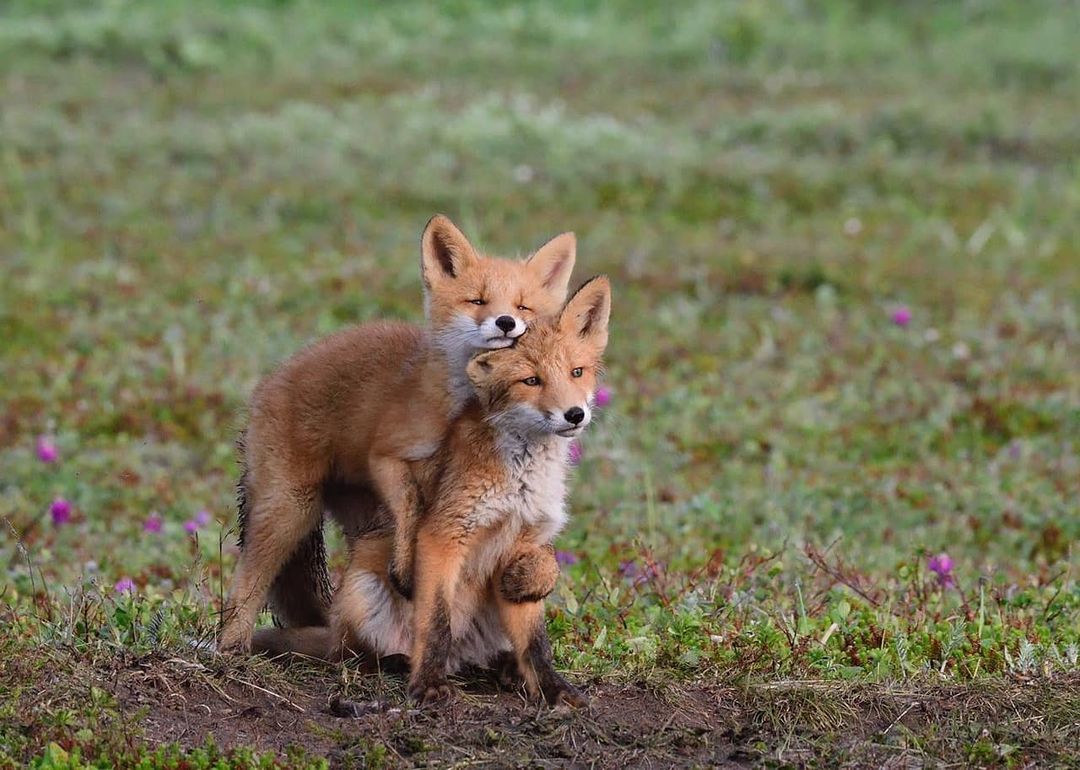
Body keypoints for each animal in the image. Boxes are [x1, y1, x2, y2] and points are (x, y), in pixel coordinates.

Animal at [248, 273, 613, 704]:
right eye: (532, 381)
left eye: (577, 372)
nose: (575, 414)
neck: (521, 480)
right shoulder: (444, 534)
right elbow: (436, 620)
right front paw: (427, 685)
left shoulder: (520, 545)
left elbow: (535, 644)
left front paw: (553, 690)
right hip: (362, 592)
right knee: (349, 654)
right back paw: (397, 663)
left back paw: (500, 669)